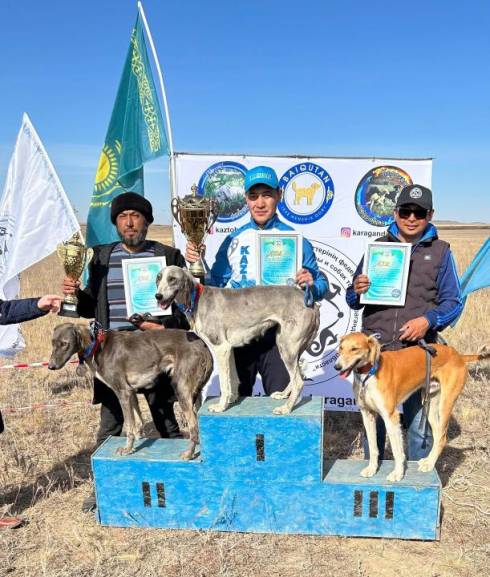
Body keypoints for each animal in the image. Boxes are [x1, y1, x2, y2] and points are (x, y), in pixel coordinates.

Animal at [155, 266, 320, 414]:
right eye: (158, 278)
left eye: (172, 279)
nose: (158, 296)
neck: (197, 298)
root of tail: (310, 301)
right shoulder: (229, 350)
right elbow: (233, 380)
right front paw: (232, 399)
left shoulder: (221, 348)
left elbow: (224, 383)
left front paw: (220, 407)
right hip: (291, 347)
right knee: (298, 376)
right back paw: (283, 395)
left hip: (286, 347)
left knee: (298, 381)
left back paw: (286, 408)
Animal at [334, 330, 488, 480]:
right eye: (340, 348)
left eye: (354, 349)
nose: (337, 366)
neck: (369, 373)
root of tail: (458, 355)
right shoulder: (367, 414)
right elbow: (373, 447)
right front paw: (371, 469)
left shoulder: (391, 417)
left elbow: (397, 451)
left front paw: (397, 474)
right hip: (430, 404)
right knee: (438, 434)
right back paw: (428, 460)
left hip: (446, 403)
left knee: (443, 437)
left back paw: (430, 464)